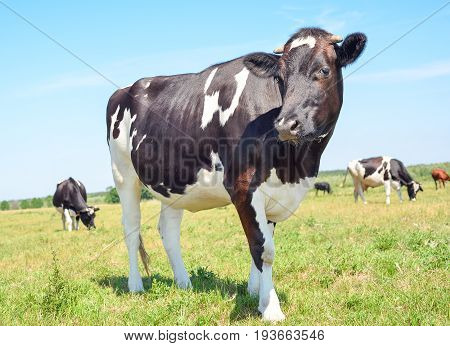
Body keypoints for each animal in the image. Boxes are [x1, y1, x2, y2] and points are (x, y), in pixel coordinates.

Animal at [107, 27, 368, 322]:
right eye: (279, 77)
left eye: (324, 70)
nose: (285, 124)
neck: (295, 165)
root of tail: (126, 89)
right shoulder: (244, 188)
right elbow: (263, 248)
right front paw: (271, 308)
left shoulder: (274, 193)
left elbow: (263, 244)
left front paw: (256, 295)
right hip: (123, 174)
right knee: (131, 228)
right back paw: (135, 286)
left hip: (173, 184)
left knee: (168, 230)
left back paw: (184, 284)